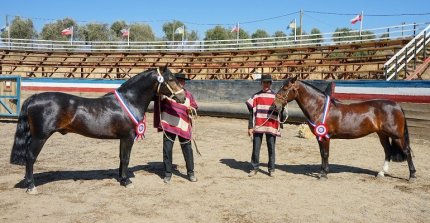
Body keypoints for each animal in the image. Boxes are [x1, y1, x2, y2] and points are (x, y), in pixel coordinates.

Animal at [9, 66, 185, 193]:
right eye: (170, 79)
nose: (182, 98)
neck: (130, 101)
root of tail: (33, 97)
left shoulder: (122, 138)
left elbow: (121, 158)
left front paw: (121, 178)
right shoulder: (128, 137)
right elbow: (126, 158)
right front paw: (127, 181)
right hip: (40, 137)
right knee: (30, 157)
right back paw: (31, 186)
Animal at [272, 76, 416, 181]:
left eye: (285, 88)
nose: (275, 105)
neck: (320, 107)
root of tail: (397, 105)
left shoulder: (325, 137)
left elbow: (325, 154)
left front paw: (324, 174)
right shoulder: (320, 137)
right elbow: (322, 154)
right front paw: (322, 171)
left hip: (397, 135)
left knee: (407, 151)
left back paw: (412, 175)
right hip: (383, 135)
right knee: (388, 151)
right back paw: (381, 173)